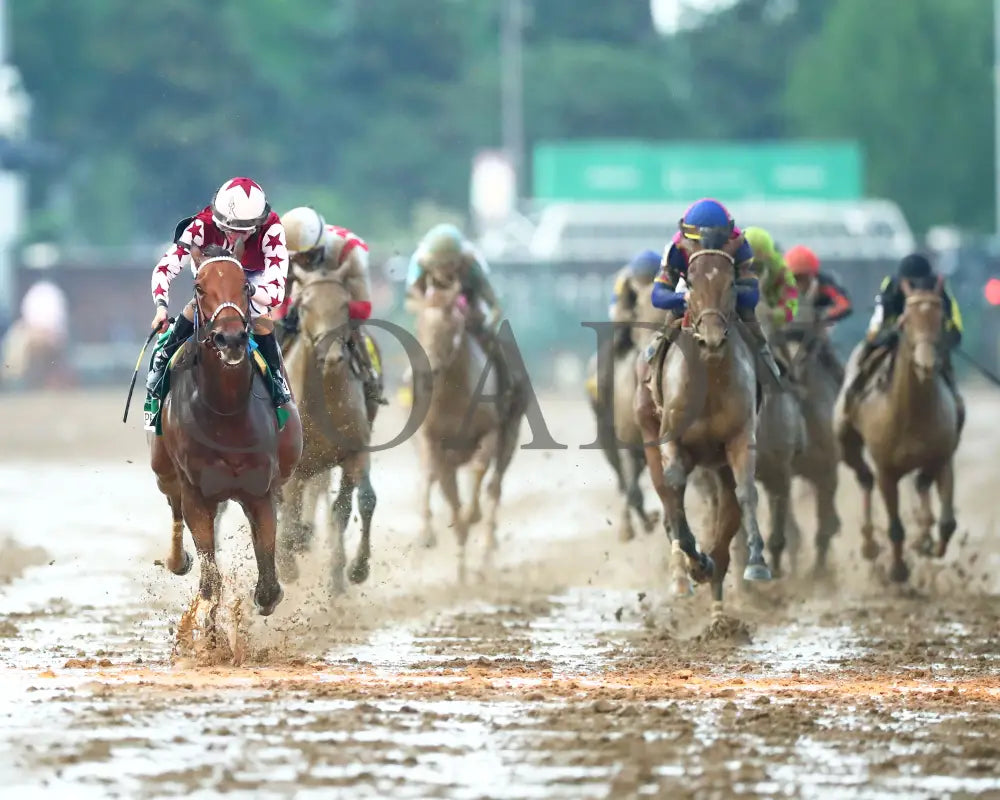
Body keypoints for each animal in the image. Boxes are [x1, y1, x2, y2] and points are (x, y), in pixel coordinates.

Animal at [148, 247, 302, 620]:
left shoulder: (260, 491)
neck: (226, 413)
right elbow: (210, 584)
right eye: (199, 287)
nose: (230, 338)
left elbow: (268, 586)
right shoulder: (196, 494)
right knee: (174, 507)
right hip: (163, 470)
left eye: (245, 286)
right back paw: (177, 559)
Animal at [636, 233, 768, 620]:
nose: (711, 338)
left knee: (727, 517)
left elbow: (745, 492)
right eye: (690, 282)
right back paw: (688, 574)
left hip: (718, 465)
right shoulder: (671, 440)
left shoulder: (740, 438)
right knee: (668, 500)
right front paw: (692, 564)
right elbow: (674, 492)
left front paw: (756, 562)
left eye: (730, 283)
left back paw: (719, 605)